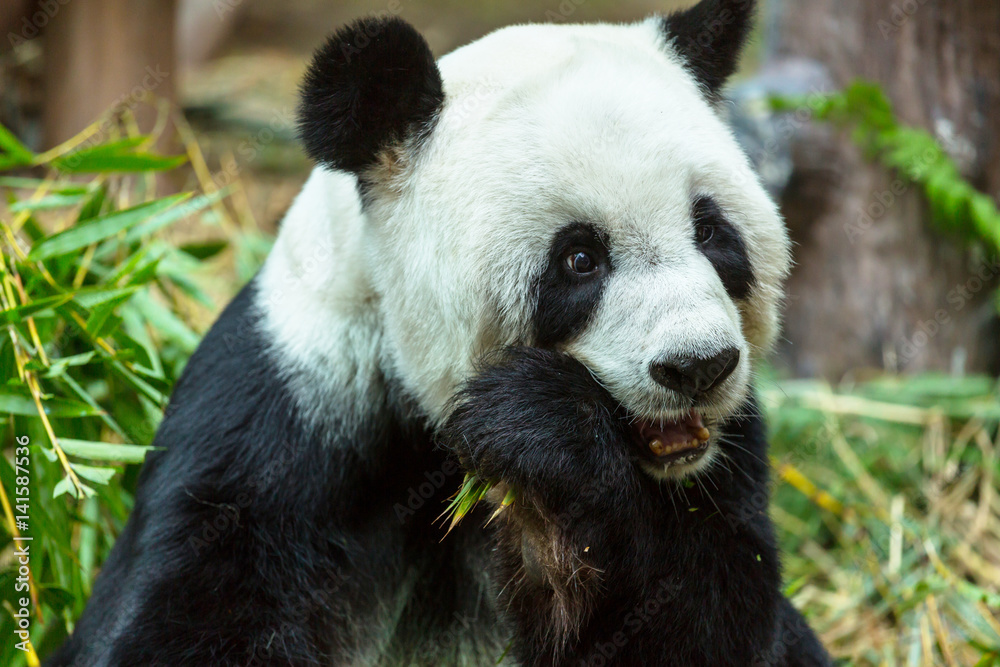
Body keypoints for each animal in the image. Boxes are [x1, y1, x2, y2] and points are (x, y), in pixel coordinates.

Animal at [50, 1, 832, 665]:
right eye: (580, 259)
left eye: (712, 231)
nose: (698, 366)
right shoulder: (279, 431)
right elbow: (184, 620)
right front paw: (545, 423)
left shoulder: (727, 460)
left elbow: (707, 617)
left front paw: (544, 433)